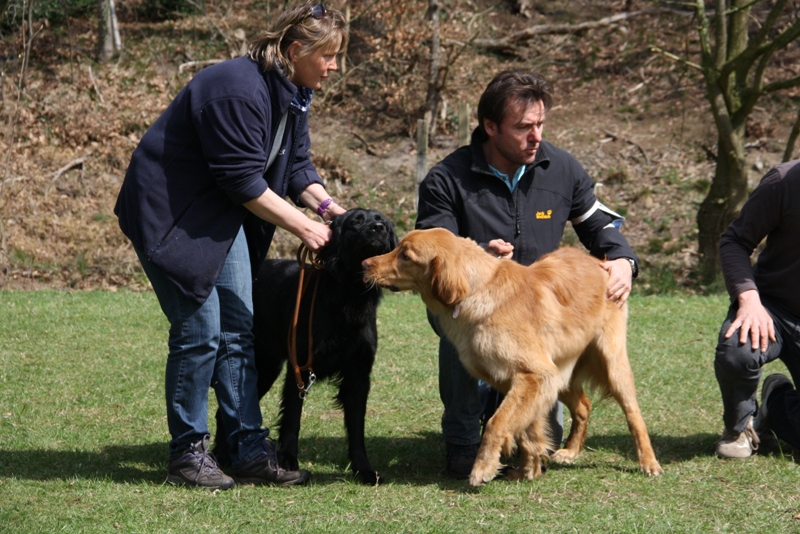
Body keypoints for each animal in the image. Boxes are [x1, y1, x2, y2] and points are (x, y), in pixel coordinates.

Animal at [214, 208, 397, 485]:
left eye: (383, 221)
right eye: (356, 221)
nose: (379, 228)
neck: (348, 293)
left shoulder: (358, 375)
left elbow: (357, 428)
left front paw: (363, 469)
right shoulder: (300, 367)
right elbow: (292, 417)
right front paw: (288, 460)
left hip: (266, 368)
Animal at [362, 228, 662, 486]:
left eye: (406, 255)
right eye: (398, 248)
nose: (364, 264)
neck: (477, 291)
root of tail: (601, 263)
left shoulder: (534, 375)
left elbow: (497, 423)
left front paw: (483, 468)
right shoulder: (522, 380)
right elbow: (527, 431)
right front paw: (527, 470)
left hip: (611, 363)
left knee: (634, 414)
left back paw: (649, 463)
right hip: (561, 372)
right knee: (583, 406)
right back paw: (570, 451)